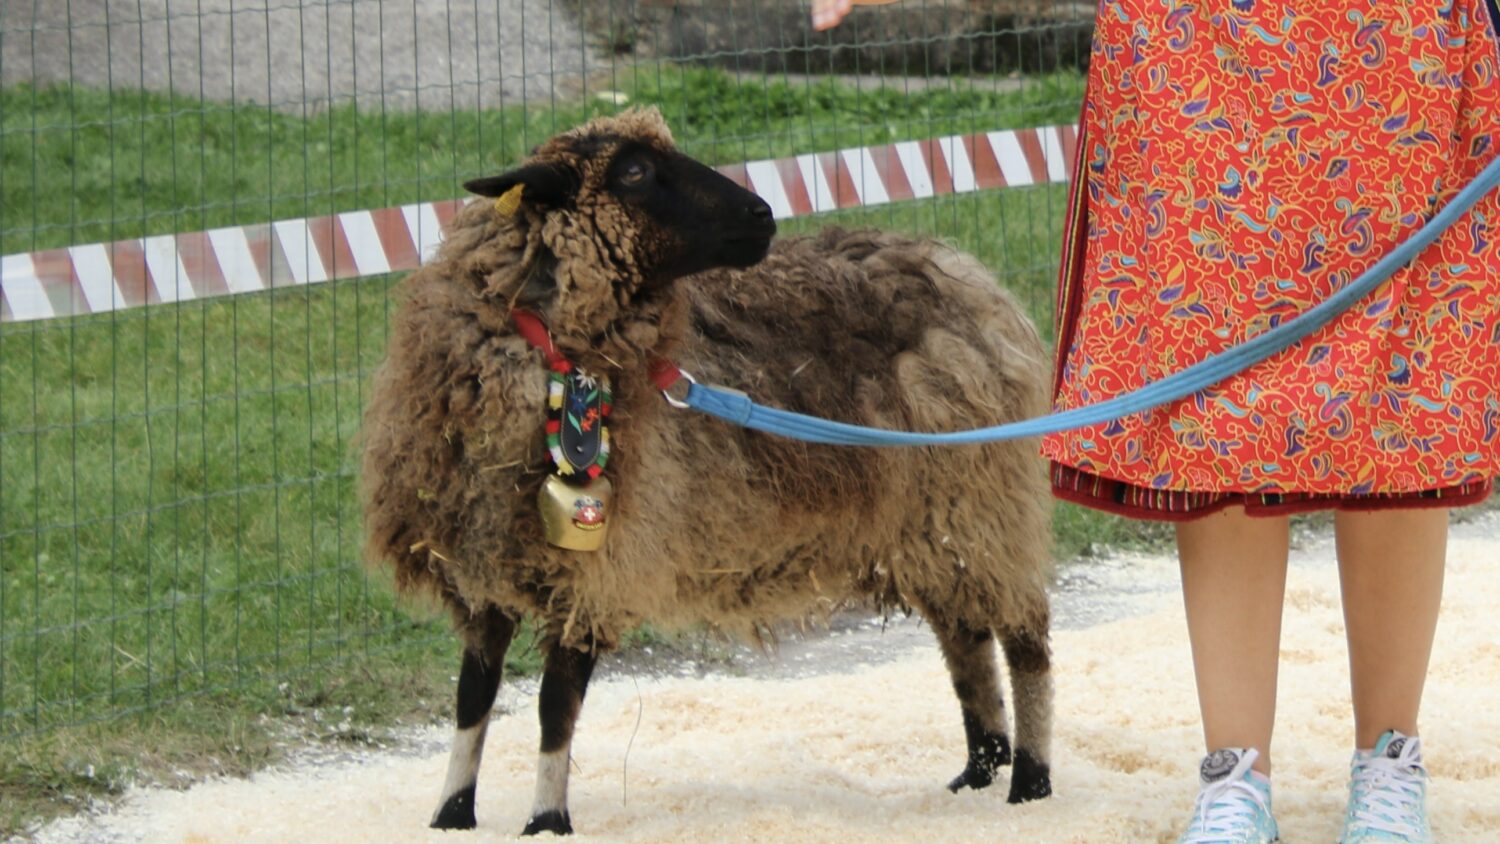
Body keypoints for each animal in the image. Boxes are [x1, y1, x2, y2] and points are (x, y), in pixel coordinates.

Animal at [360, 107, 1056, 839]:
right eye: (634, 171)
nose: (762, 213)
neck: (555, 353)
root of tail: (966, 273)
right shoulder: (485, 567)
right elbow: (473, 697)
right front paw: (450, 814)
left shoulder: (600, 568)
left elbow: (555, 706)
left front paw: (547, 820)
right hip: (932, 526)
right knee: (966, 638)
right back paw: (978, 773)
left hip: (979, 502)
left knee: (1024, 638)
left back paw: (1029, 782)